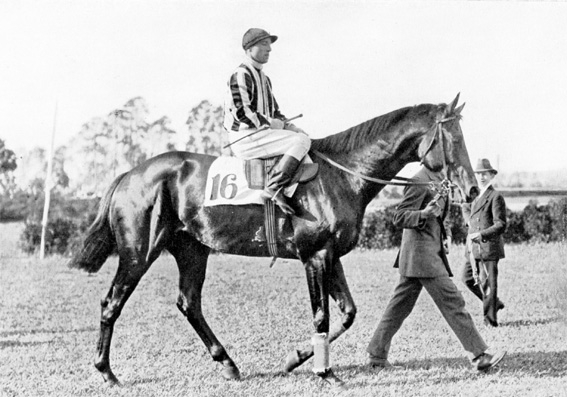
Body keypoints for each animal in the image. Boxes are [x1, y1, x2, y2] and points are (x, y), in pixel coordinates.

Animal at [71, 92, 480, 384]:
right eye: (454, 138)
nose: (473, 189)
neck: (341, 176)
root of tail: (130, 174)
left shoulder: (331, 255)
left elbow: (347, 313)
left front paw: (296, 359)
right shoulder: (314, 255)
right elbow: (322, 316)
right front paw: (323, 371)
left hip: (193, 251)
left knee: (189, 303)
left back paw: (228, 363)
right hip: (138, 253)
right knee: (111, 303)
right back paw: (106, 371)